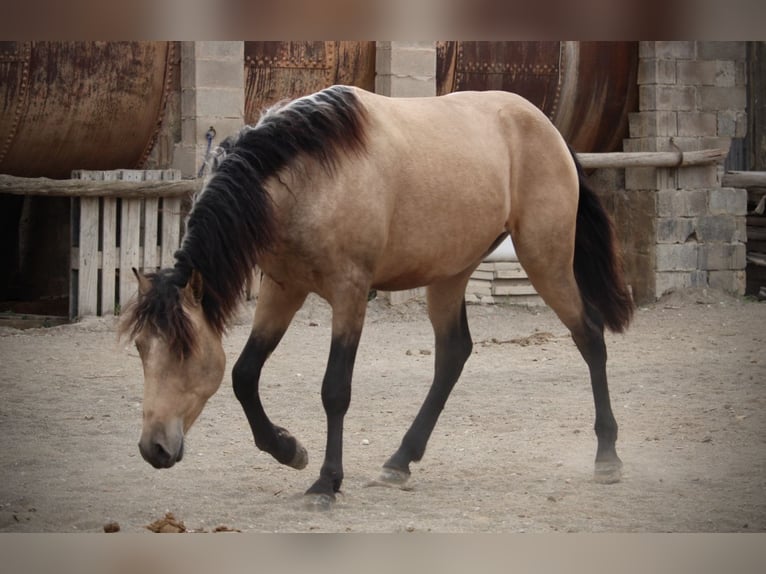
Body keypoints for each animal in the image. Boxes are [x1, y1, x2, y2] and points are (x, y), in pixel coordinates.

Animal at [121, 84, 636, 508]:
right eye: (142, 348)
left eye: (185, 351)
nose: (153, 448)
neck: (308, 172)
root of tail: (547, 127)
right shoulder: (283, 288)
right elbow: (245, 376)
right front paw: (289, 450)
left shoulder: (349, 293)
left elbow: (335, 390)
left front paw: (326, 483)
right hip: (450, 273)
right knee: (453, 354)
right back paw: (400, 461)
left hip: (544, 258)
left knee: (589, 335)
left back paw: (608, 455)